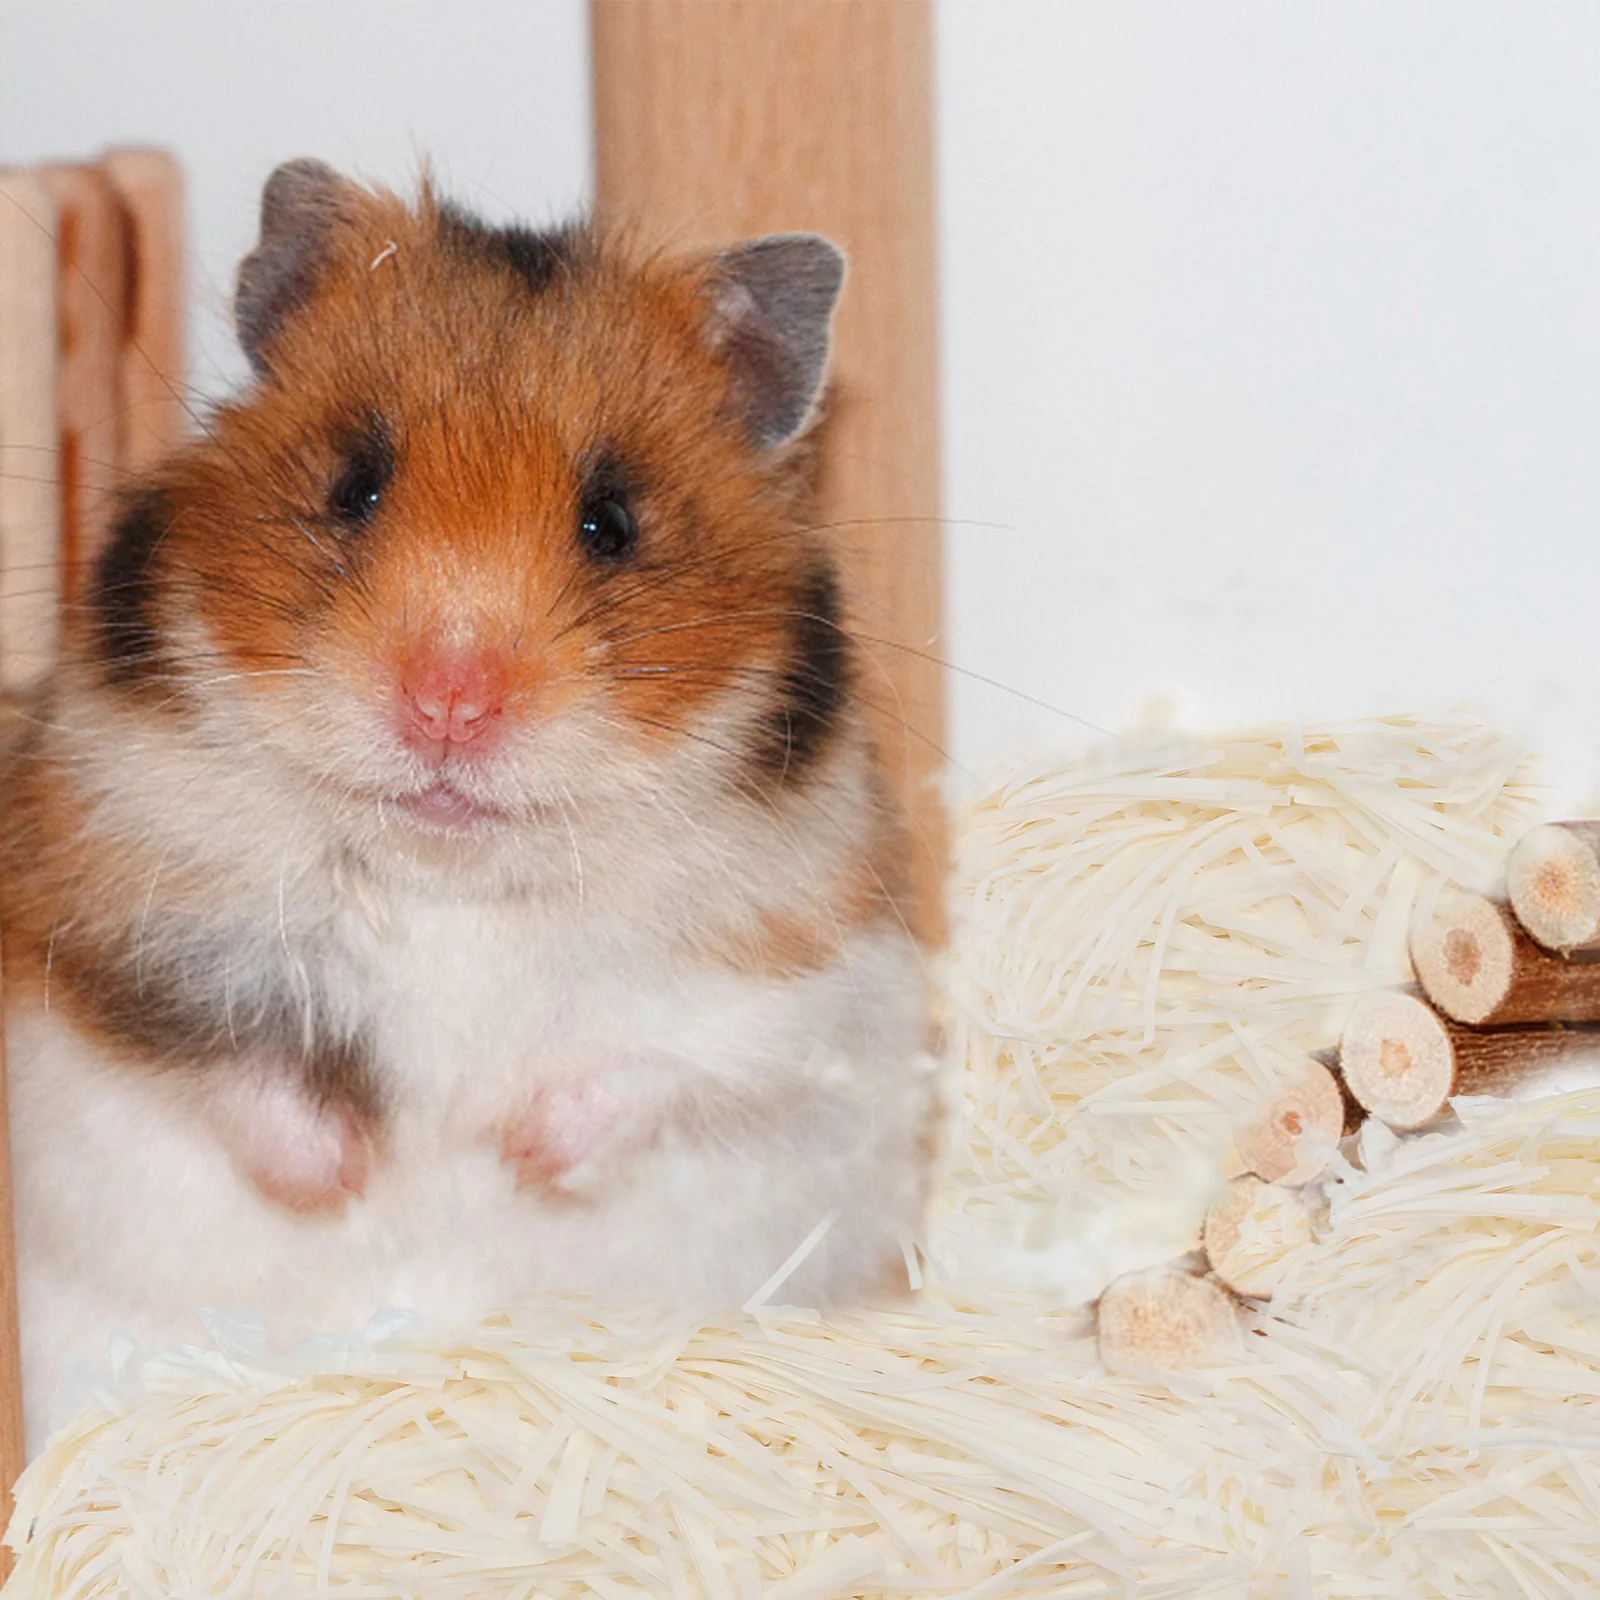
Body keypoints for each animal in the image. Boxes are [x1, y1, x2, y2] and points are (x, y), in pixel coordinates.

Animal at [0, 161, 934, 1449]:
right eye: (354, 484)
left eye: (611, 521)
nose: (447, 703)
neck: (451, 873)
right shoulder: (103, 908)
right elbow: (229, 1064)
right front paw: (352, 1174)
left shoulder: (814, 980)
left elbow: (669, 1060)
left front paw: (512, 1152)